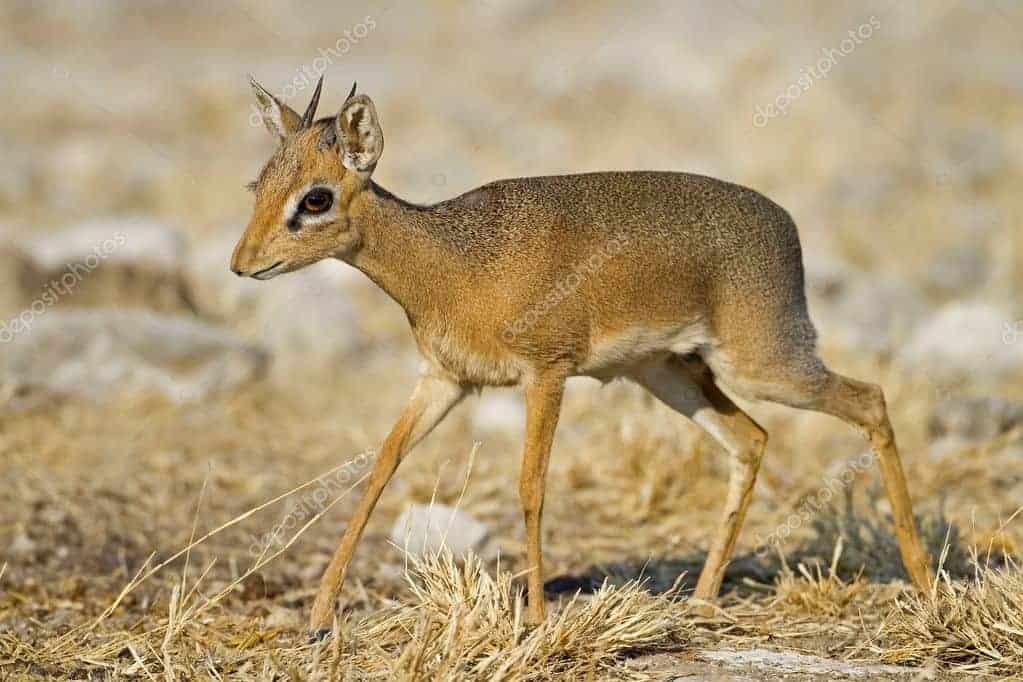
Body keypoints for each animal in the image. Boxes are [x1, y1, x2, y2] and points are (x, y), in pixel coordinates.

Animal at [231, 76, 933, 635]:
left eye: (316, 198)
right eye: (258, 184)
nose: (242, 264)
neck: (454, 264)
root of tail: (784, 223)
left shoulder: (547, 373)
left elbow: (531, 486)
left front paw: (538, 619)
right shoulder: (443, 382)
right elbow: (380, 469)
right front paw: (319, 615)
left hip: (767, 365)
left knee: (870, 399)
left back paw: (924, 582)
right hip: (669, 373)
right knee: (752, 439)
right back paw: (703, 600)